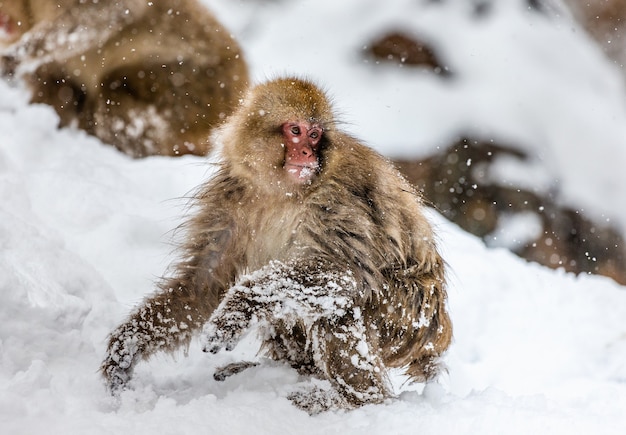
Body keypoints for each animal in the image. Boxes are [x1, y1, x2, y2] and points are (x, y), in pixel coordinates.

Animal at [0, 0, 249, 157]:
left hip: (197, 86)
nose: (4, 23)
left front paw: (16, 56)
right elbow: (54, 86)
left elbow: (109, 11)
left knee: (113, 97)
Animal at [100, 76, 450, 414]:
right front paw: (125, 348)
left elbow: (347, 275)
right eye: (295, 131)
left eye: (315, 135)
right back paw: (288, 372)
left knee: (339, 306)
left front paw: (236, 309)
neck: (281, 192)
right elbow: (203, 285)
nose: (308, 154)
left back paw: (355, 403)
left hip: (406, 317)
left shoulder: (337, 201)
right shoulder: (227, 199)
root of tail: (437, 337)